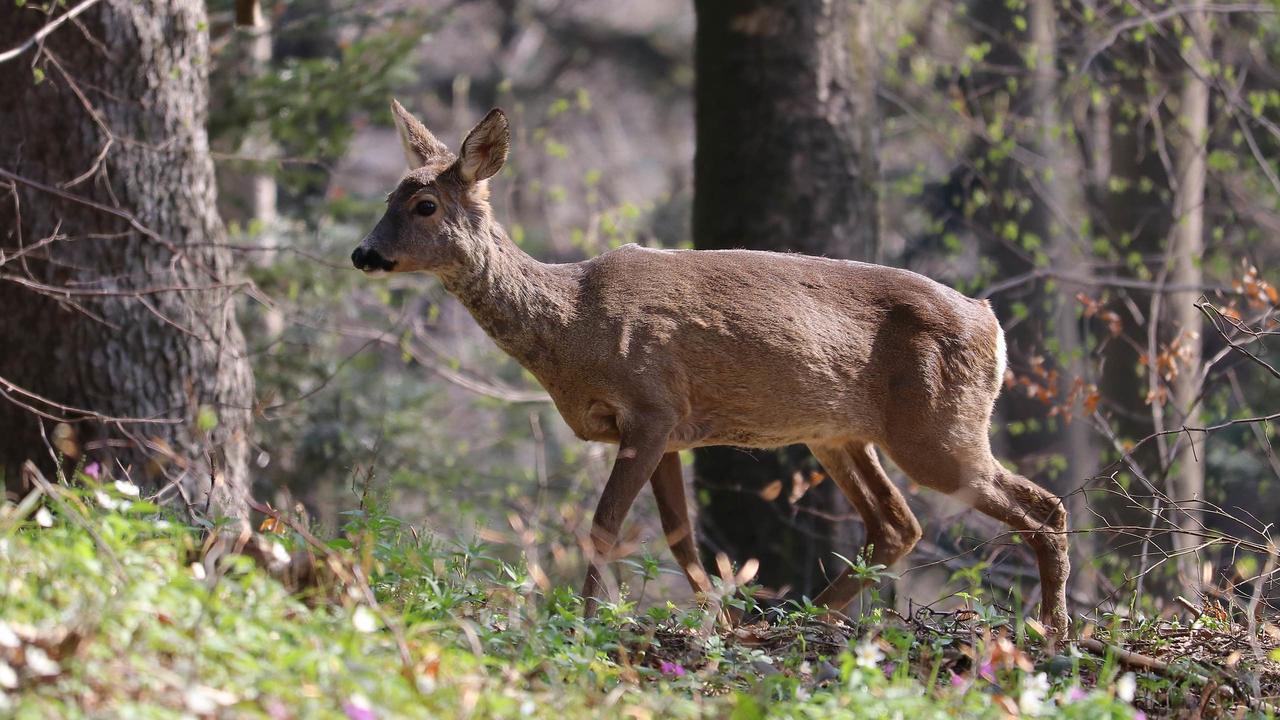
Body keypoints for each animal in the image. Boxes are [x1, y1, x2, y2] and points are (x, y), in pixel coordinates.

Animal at [350, 102, 1070, 632]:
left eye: (424, 206)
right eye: (387, 195)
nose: (363, 253)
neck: (573, 324)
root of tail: (991, 323)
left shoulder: (650, 405)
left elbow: (604, 528)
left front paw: (584, 624)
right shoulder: (667, 430)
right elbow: (680, 536)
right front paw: (718, 625)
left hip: (939, 429)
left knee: (1041, 506)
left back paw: (1053, 632)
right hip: (840, 433)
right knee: (898, 523)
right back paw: (790, 623)